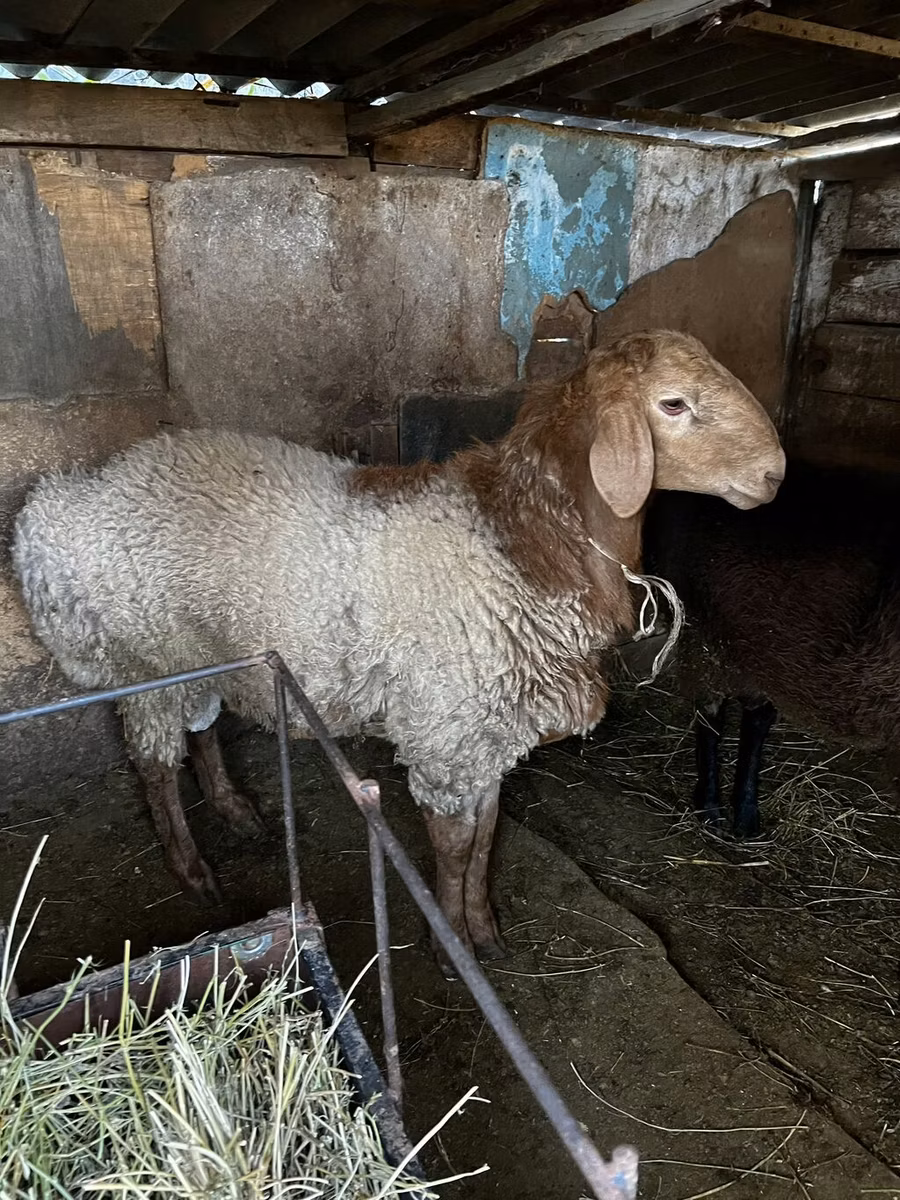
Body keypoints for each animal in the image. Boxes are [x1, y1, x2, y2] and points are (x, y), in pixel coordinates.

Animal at [12, 330, 784, 975]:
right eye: (673, 403)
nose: (775, 474)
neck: (523, 539)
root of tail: (62, 502)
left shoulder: (487, 731)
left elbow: (486, 836)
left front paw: (485, 928)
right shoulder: (448, 730)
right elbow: (454, 845)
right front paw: (454, 948)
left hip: (201, 648)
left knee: (201, 729)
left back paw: (234, 808)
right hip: (143, 658)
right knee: (155, 765)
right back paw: (193, 870)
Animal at [643, 461, 900, 838]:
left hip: (756, 642)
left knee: (756, 715)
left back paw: (745, 815)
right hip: (705, 632)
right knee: (711, 713)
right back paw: (711, 807)